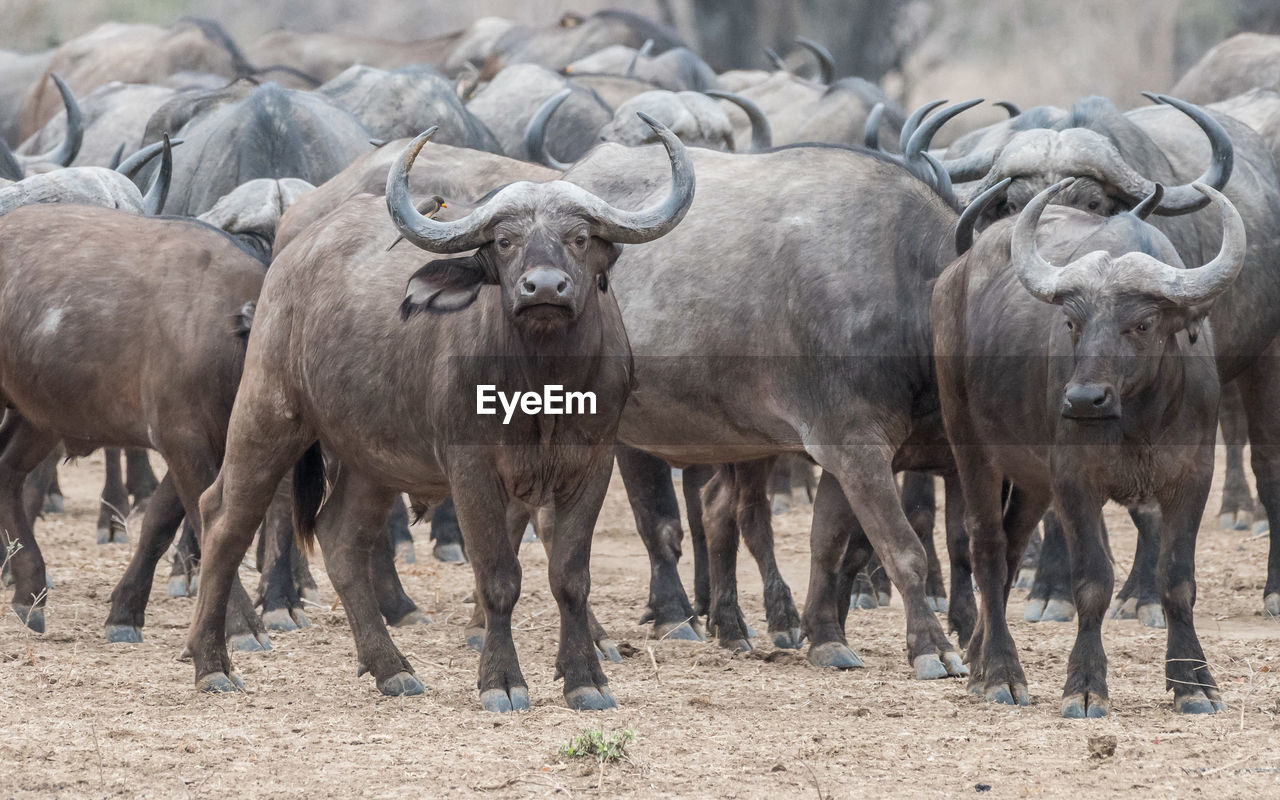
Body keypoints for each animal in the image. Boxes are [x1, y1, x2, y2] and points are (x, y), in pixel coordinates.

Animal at [936, 180, 1244, 716]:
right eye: (1072, 323)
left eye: (1142, 324)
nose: (1082, 399)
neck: (1138, 420)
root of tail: (954, 275)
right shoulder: (1075, 481)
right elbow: (1093, 583)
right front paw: (1084, 684)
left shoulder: (1193, 477)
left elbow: (1178, 581)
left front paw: (1194, 683)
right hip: (970, 444)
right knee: (988, 547)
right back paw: (999, 672)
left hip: (1033, 478)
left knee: (1012, 545)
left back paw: (976, 658)